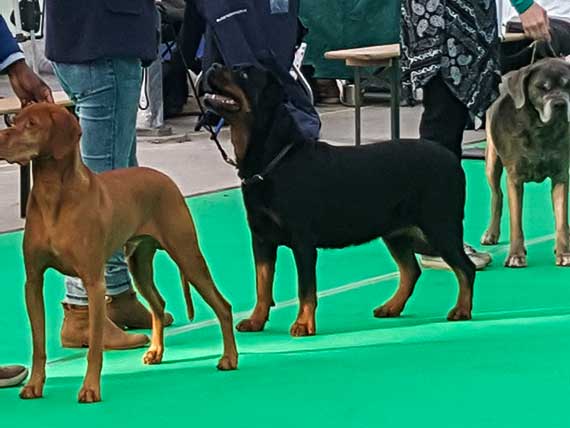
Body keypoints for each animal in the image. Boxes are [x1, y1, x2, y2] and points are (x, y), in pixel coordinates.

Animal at [0, 103, 237, 402]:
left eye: (32, 124)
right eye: (13, 120)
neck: (52, 193)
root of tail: (164, 178)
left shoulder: (94, 282)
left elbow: (94, 348)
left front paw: (90, 388)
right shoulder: (33, 281)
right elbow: (38, 343)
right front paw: (34, 385)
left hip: (187, 254)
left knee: (222, 305)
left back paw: (229, 358)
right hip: (140, 264)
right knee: (158, 305)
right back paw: (155, 352)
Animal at [203, 64, 474, 338]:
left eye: (243, 74)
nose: (212, 66)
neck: (271, 161)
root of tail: (451, 158)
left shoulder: (302, 241)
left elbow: (305, 288)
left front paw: (303, 324)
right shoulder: (261, 239)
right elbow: (262, 283)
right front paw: (256, 320)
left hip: (439, 226)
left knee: (465, 267)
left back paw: (461, 309)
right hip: (396, 231)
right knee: (411, 270)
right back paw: (392, 306)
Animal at [482, 57, 570, 268]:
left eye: (568, 85)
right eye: (542, 87)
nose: (560, 104)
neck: (541, 130)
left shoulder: (561, 174)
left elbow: (562, 218)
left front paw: (564, 253)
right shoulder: (515, 178)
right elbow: (515, 220)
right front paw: (515, 255)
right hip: (491, 160)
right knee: (497, 195)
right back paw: (491, 233)